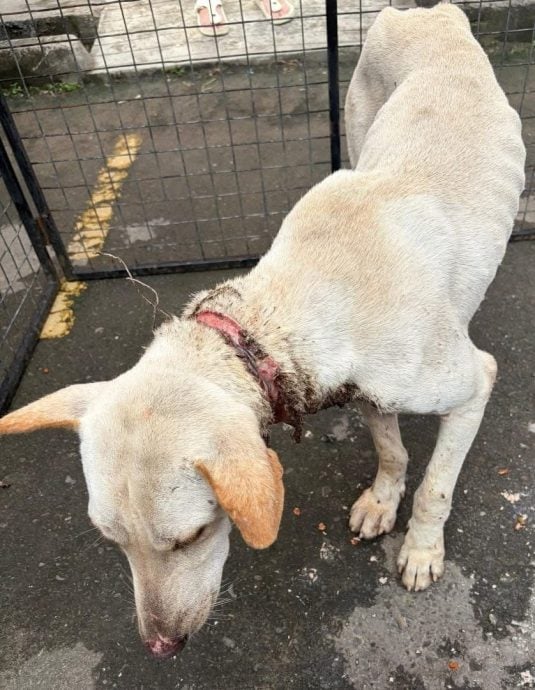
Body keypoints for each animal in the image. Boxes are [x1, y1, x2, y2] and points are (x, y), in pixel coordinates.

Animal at [0, 2, 525, 659]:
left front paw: (422, 549)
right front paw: (383, 499)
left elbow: (435, 485)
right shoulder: (366, 390)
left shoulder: (473, 383)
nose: (160, 647)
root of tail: (430, 13)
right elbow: (390, 447)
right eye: (111, 540)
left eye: (192, 536)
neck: (290, 306)